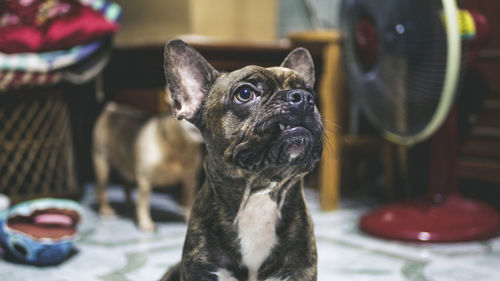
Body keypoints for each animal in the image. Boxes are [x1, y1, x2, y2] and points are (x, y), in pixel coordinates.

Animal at [92, 97, 203, 231]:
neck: (178, 148)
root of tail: (111, 110)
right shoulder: (145, 180)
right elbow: (143, 204)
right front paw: (146, 223)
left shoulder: (190, 181)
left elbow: (188, 202)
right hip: (102, 164)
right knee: (101, 189)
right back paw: (105, 210)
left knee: (126, 186)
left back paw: (130, 205)